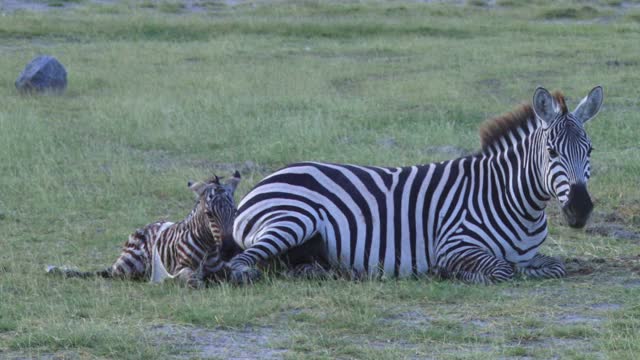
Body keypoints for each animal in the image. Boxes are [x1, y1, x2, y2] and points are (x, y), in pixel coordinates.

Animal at [45, 172, 240, 286]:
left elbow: (239, 276)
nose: (230, 250)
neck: (208, 245)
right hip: (131, 267)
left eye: (235, 211)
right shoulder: (179, 269)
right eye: (209, 214)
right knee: (115, 275)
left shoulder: (224, 269)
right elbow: (193, 280)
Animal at [228, 86, 604, 284]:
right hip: (292, 219)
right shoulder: (455, 244)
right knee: (242, 265)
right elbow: (500, 269)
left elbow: (552, 265)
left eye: (590, 150)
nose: (580, 210)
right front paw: (447, 272)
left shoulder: (532, 255)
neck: (510, 198)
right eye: (552, 152)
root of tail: (267, 178)